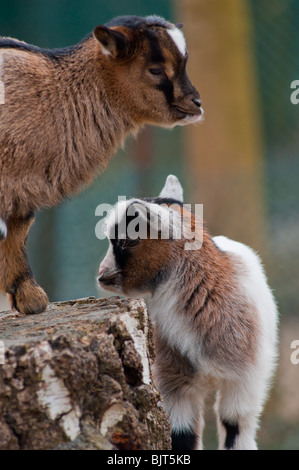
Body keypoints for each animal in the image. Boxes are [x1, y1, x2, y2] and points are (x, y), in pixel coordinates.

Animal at [98, 174, 278, 450]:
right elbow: (182, 435)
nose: (101, 273)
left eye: (129, 240)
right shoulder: (173, 381)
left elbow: (235, 427)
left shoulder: (245, 377)